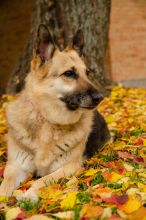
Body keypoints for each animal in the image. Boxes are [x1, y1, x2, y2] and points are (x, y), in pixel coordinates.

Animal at [0, 24, 109, 201]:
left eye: (87, 73)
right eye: (69, 73)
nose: (100, 97)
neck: (48, 121)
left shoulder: (69, 167)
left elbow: (41, 180)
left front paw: (29, 195)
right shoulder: (15, 166)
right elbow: (4, 186)